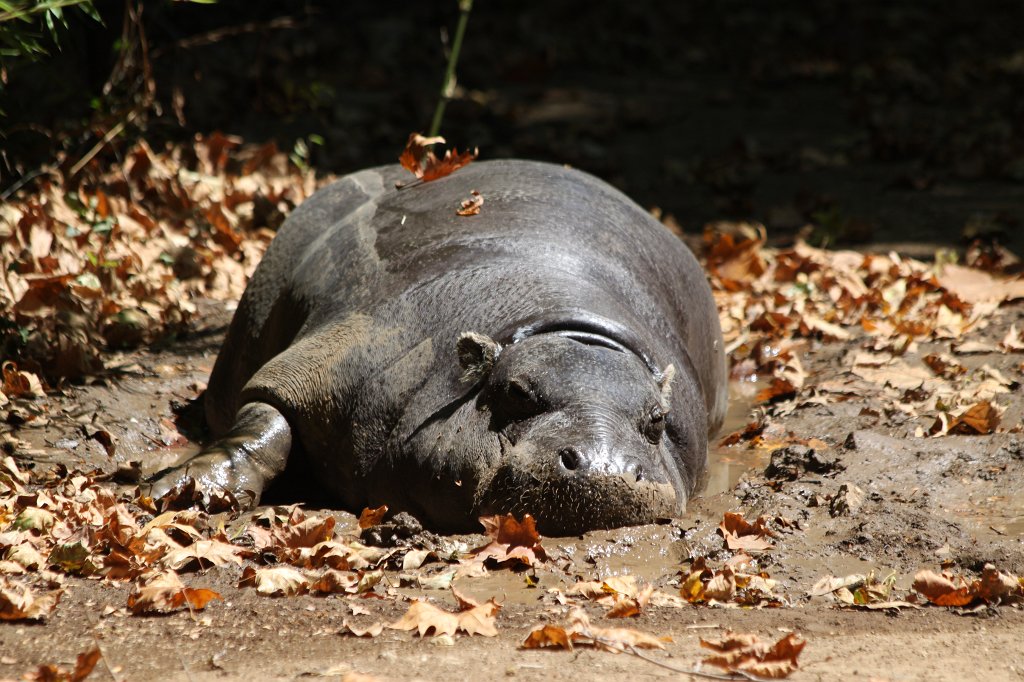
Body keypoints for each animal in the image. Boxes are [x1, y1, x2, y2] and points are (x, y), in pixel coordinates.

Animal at [151, 159, 727, 535]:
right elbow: (264, 421)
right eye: (516, 392)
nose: (606, 465)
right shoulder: (342, 354)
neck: (562, 329)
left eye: (658, 420)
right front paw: (175, 490)